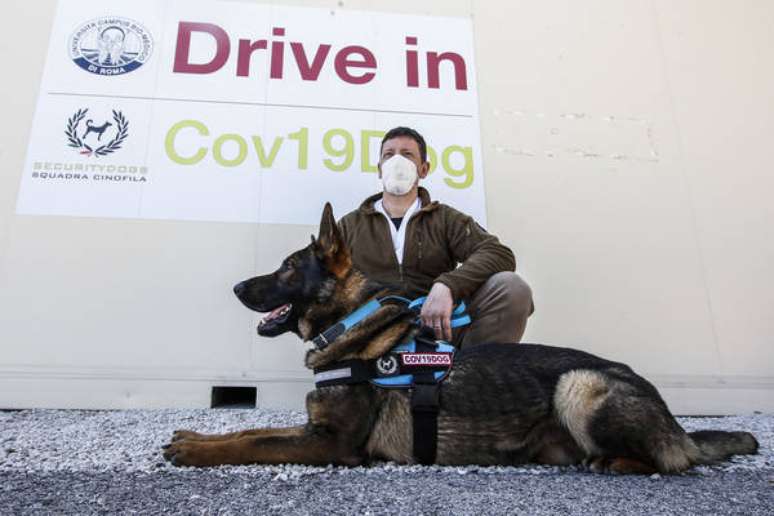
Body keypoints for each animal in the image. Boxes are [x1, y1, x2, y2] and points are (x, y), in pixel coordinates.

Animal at [161, 204, 760, 474]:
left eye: (288, 267)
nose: (237, 287)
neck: (352, 325)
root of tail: (675, 423)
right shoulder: (312, 429)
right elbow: (251, 428)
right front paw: (193, 435)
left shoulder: (330, 445)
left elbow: (251, 442)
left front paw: (193, 451)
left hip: (579, 384)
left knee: (671, 461)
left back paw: (614, 462)